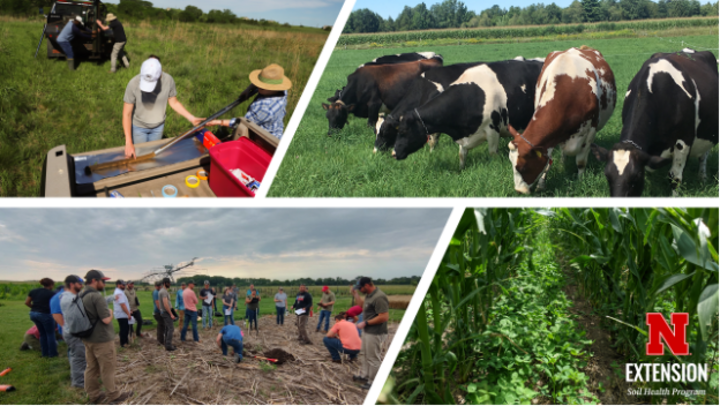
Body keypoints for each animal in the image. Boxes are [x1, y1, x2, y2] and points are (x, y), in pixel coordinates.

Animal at [390, 59, 544, 170]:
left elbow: (493, 153)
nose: (393, 153)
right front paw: (461, 171)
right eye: (397, 131)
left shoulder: (493, 129)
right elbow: (461, 156)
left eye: (403, 131)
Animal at [506, 46, 620, 193]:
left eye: (523, 167)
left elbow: (581, 162)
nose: (519, 190)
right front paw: (542, 184)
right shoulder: (551, 137)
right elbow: (548, 160)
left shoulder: (591, 131)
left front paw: (580, 181)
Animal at [592, 50, 720, 197]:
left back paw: (702, 177)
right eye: (607, 176)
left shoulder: (684, 141)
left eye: (636, 176)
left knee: (704, 155)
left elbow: (675, 177)